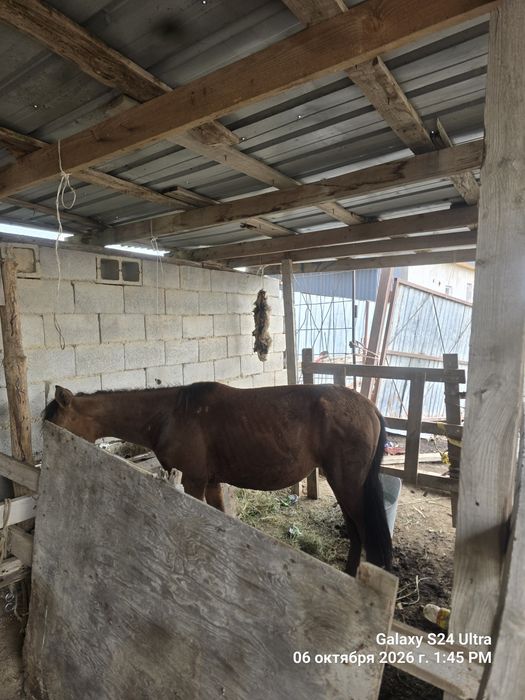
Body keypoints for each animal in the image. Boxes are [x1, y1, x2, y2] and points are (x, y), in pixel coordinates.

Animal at [43, 381, 392, 575]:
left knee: (364, 532)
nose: (45, 459)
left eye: (55, 422)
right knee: (355, 532)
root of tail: (370, 408)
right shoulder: (211, 483)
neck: (169, 414)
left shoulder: (194, 481)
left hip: (348, 485)